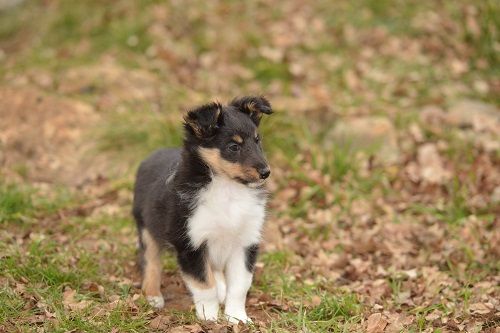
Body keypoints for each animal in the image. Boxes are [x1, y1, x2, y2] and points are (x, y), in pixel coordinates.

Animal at [133, 95, 272, 322]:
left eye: (257, 140)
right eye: (233, 147)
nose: (266, 172)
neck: (227, 188)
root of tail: (151, 156)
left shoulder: (245, 242)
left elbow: (240, 285)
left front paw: (237, 318)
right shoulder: (191, 243)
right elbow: (205, 285)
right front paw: (209, 316)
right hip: (147, 229)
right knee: (151, 262)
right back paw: (153, 296)